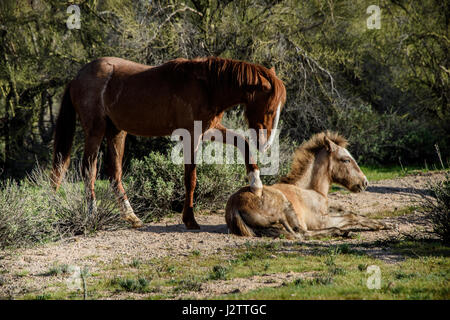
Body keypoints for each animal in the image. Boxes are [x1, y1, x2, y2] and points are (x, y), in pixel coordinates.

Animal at [51, 56, 284, 229]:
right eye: (270, 109)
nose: (266, 145)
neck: (207, 86)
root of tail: (77, 77)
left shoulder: (208, 130)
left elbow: (241, 141)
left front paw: (256, 184)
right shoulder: (191, 135)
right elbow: (191, 178)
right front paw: (190, 219)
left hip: (116, 132)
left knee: (113, 173)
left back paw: (131, 217)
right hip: (96, 131)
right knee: (89, 169)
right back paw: (92, 213)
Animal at [225, 131, 386, 239]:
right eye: (346, 159)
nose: (364, 182)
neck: (311, 190)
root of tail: (234, 207)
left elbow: (351, 212)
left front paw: (381, 224)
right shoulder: (320, 221)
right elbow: (351, 217)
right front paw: (379, 225)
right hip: (286, 207)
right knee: (301, 233)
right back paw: (342, 232)